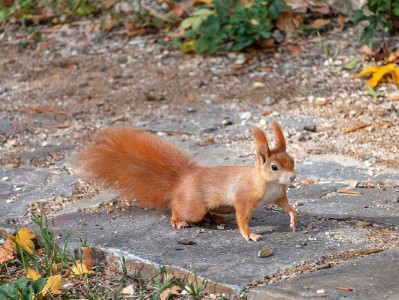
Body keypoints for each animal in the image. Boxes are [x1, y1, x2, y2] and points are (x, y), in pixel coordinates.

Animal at [77, 120, 296, 240]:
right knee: (178, 207)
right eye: (274, 167)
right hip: (193, 207)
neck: (270, 183)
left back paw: (214, 218)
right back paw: (178, 220)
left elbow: (288, 207)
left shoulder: (279, 196)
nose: (293, 177)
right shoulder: (244, 199)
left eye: (292, 160)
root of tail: (181, 180)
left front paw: (294, 221)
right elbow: (242, 218)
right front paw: (249, 234)